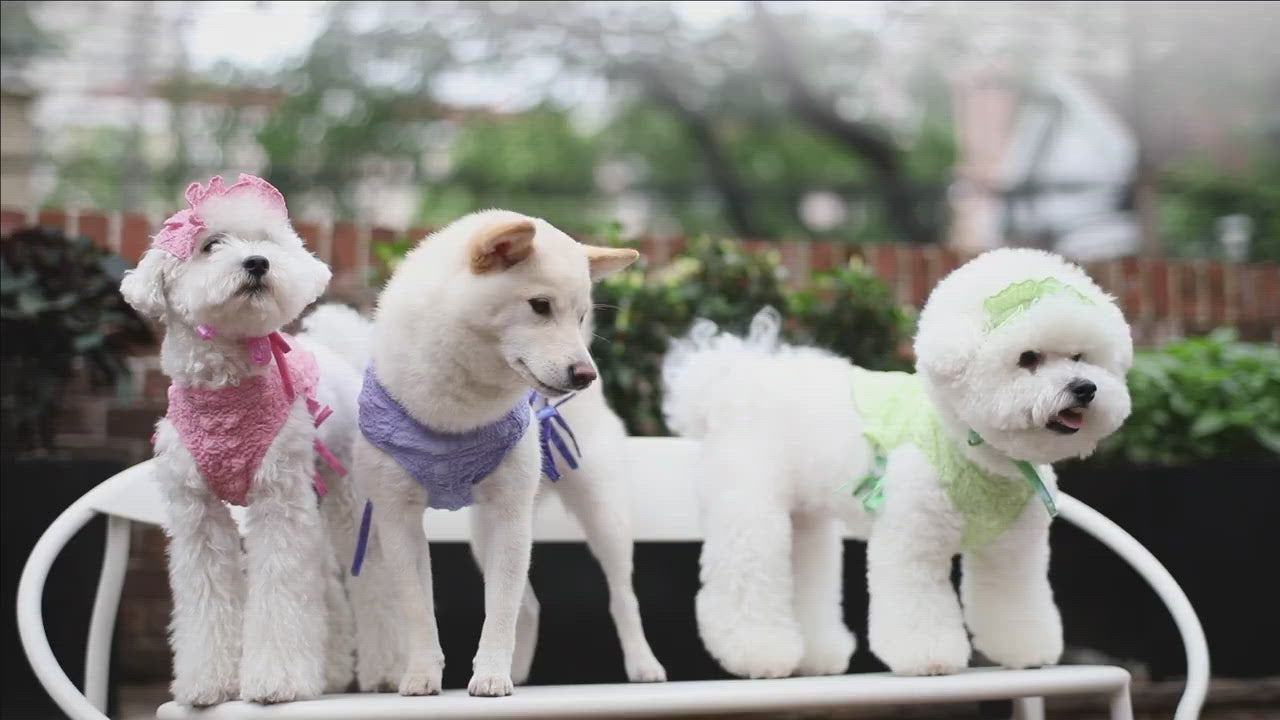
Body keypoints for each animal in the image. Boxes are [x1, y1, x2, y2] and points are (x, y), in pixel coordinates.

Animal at [119, 174, 373, 702]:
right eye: (210, 245)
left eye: (266, 241)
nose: (257, 262)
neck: (226, 390)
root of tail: (338, 351)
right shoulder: (196, 511)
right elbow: (206, 594)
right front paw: (206, 683)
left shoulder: (278, 500)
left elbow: (280, 590)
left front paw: (276, 681)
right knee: (327, 590)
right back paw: (332, 671)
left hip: (345, 492)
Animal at [350, 208, 640, 696]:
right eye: (540, 306)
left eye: (579, 315)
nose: (586, 374)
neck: (455, 415)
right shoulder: (397, 518)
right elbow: (418, 610)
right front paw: (422, 673)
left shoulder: (510, 515)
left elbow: (499, 611)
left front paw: (489, 674)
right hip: (483, 535)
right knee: (530, 605)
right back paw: (519, 671)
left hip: (602, 517)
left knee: (622, 597)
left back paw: (644, 665)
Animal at [665, 248, 1136, 676]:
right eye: (1029, 358)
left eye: (1080, 356)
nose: (1085, 388)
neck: (974, 449)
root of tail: (731, 381)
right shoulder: (913, 537)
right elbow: (917, 602)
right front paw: (929, 658)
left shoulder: (1012, 550)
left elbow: (1014, 598)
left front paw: (1026, 649)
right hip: (749, 502)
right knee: (745, 573)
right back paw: (759, 654)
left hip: (806, 518)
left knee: (808, 575)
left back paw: (816, 656)